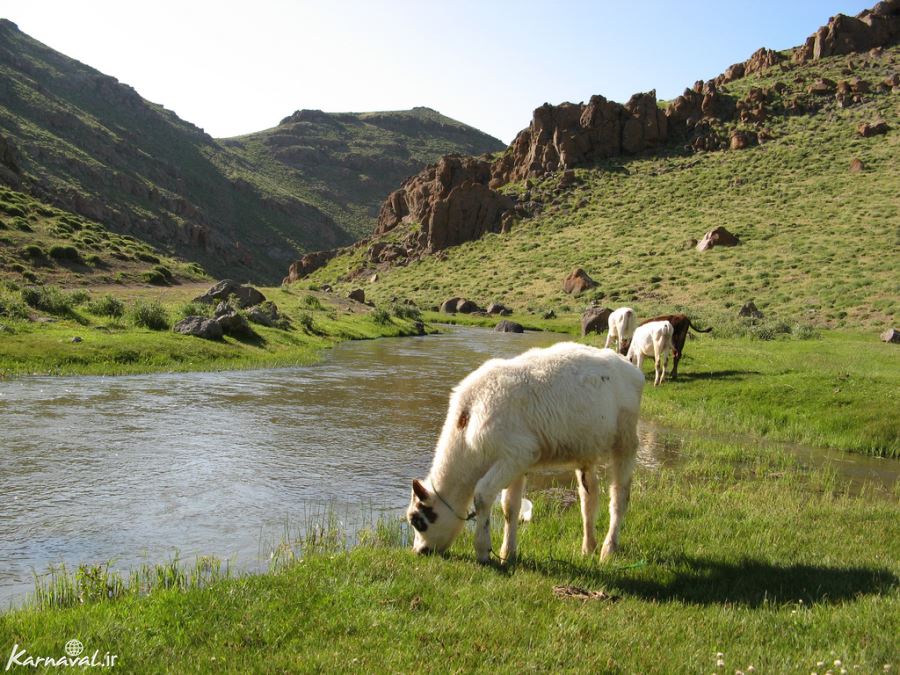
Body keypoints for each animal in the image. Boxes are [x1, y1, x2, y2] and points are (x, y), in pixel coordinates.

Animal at [404, 344, 644, 564]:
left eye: (417, 520)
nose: (418, 551)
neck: (466, 424)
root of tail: (628, 364)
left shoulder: (516, 454)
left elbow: (482, 495)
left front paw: (483, 551)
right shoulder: (518, 462)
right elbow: (510, 507)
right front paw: (507, 554)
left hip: (626, 441)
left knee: (619, 496)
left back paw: (608, 549)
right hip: (586, 448)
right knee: (589, 498)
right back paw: (588, 547)